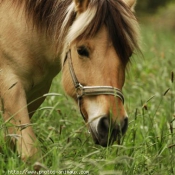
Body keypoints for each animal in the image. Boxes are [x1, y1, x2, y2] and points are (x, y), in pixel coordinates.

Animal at [0, 0, 139, 161]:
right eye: (81, 50)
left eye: (128, 54)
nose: (113, 125)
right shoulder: (10, 85)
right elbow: (31, 153)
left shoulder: (37, 92)